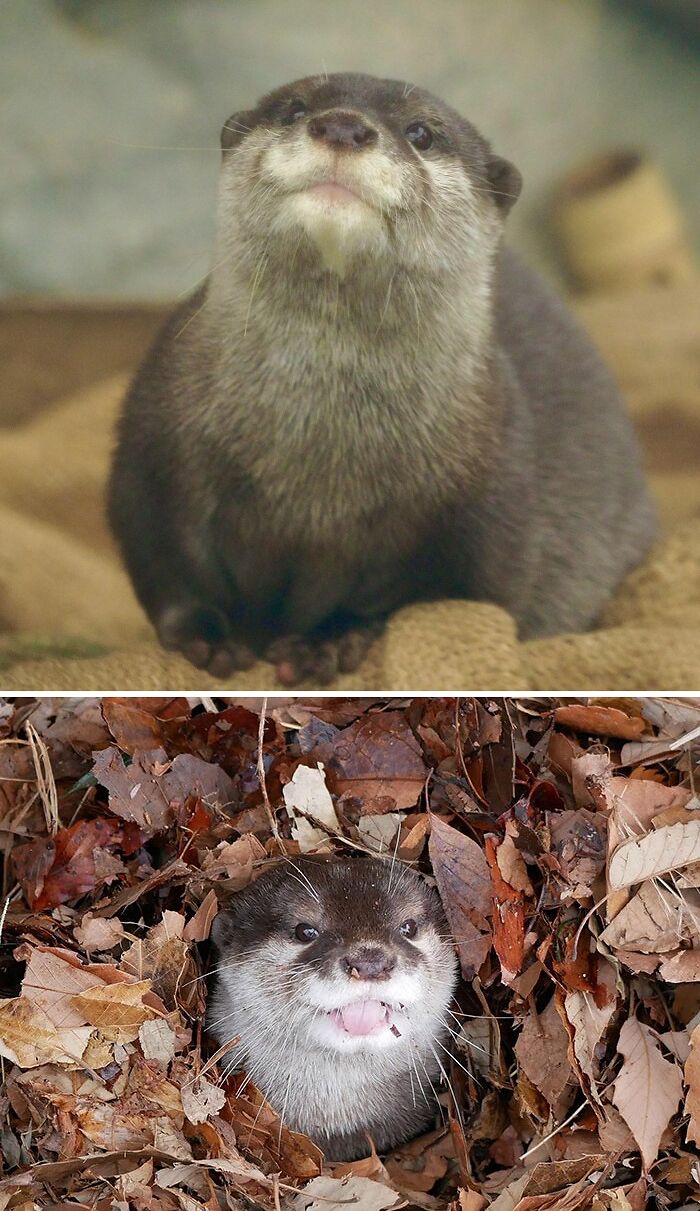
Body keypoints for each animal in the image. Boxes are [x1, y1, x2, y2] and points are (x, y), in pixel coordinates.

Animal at [108, 71, 656, 685]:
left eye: (422, 133)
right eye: (293, 107)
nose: (343, 126)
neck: (315, 464)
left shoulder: (488, 498)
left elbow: (430, 597)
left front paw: (327, 640)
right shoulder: (154, 440)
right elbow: (161, 555)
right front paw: (208, 636)